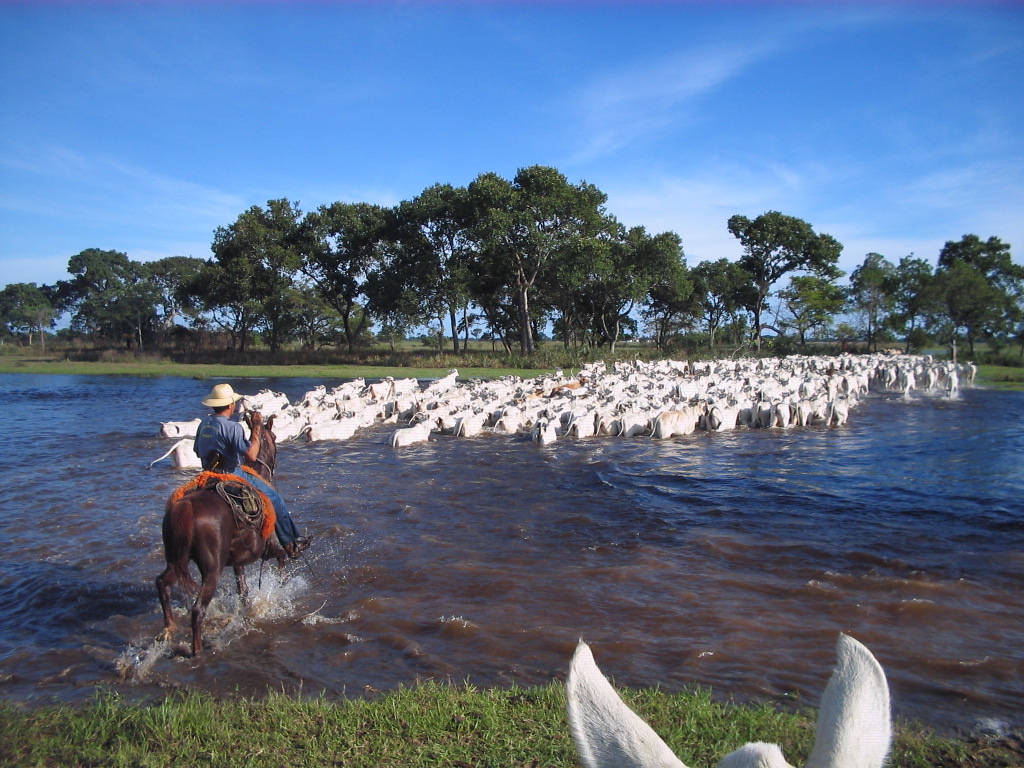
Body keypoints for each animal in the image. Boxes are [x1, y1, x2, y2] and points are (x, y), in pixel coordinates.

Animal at [152, 415, 280, 655]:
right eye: (275, 436)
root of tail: (186, 508)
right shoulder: (271, 548)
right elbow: (283, 560)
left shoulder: (238, 560)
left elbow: (243, 591)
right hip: (212, 570)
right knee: (197, 610)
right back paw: (196, 650)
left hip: (177, 560)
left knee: (163, 583)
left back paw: (168, 629)